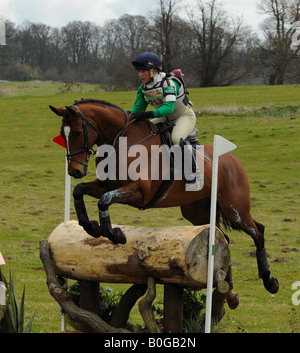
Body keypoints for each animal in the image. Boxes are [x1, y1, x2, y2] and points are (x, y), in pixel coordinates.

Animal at [49, 97, 278, 302]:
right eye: (62, 134)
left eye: (77, 132)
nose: (75, 171)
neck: (122, 142)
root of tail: (231, 158)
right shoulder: (107, 185)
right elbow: (79, 191)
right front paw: (92, 227)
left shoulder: (139, 193)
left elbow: (104, 201)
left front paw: (115, 234)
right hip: (196, 211)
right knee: (224, 238)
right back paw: (227, 288)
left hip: (234, 208)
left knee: (258, 232)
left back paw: (269, 281)